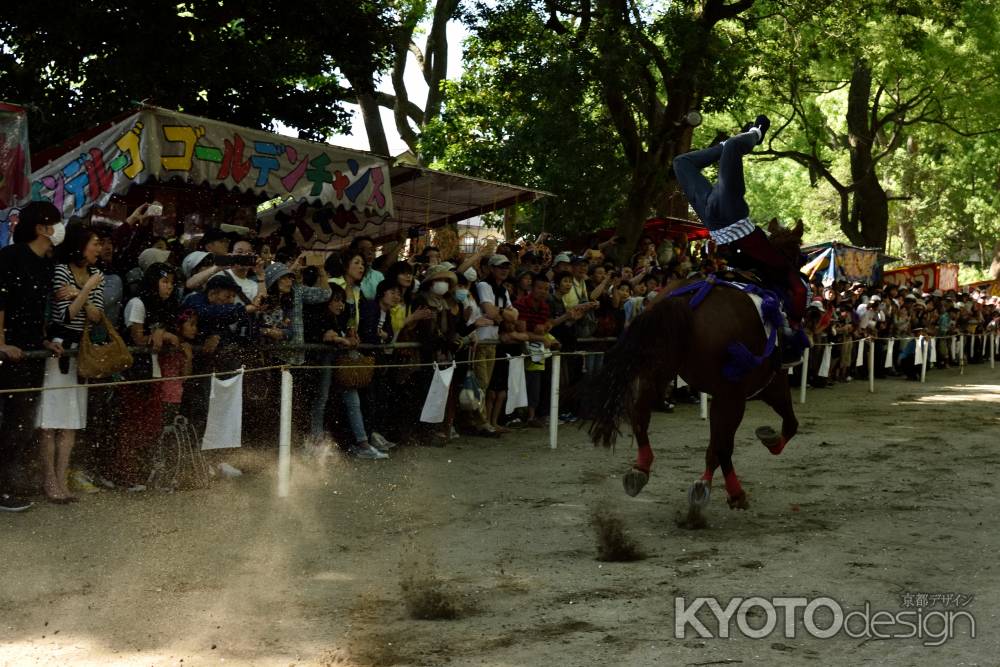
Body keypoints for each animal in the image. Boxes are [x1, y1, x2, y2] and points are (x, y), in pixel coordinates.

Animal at [580, 219, 804, 528]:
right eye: (798, 254)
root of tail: (682, 302)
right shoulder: (769, 385)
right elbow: (789, 425)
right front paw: (770, 442)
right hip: (730, 395)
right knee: (721, 445)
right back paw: (726, 491)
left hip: (654, 372)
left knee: (640, 415)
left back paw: (641, 468)